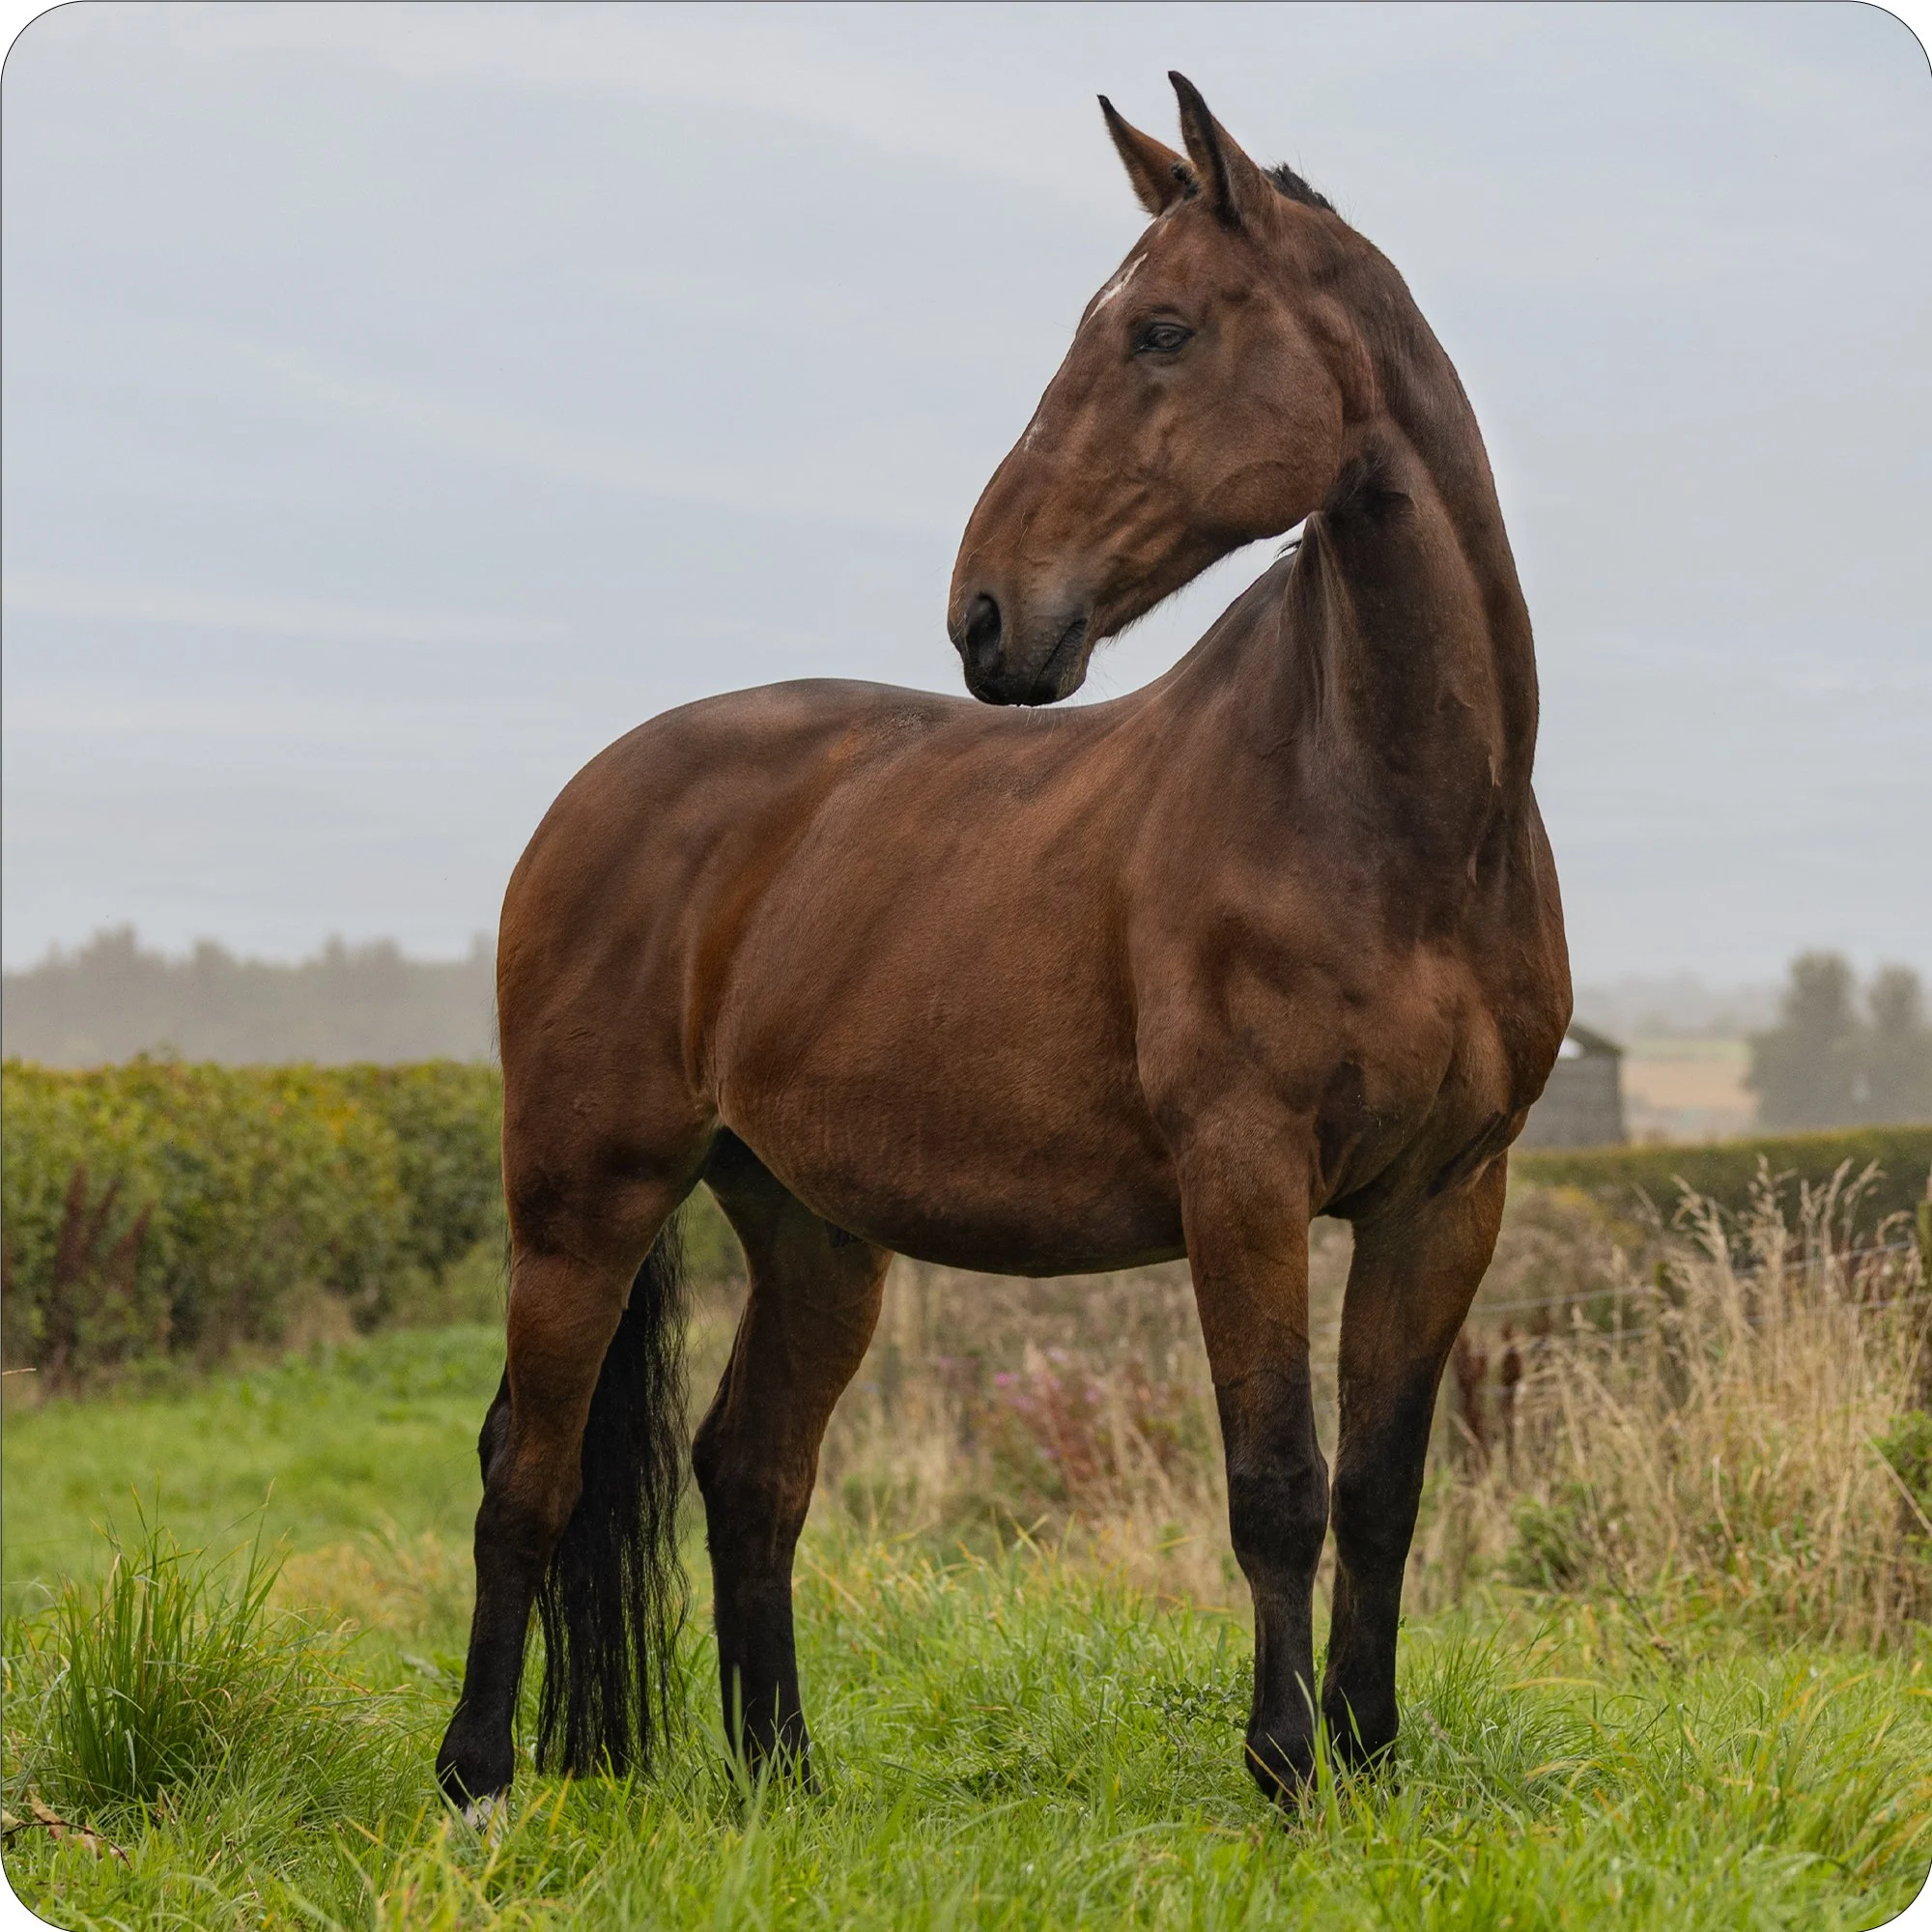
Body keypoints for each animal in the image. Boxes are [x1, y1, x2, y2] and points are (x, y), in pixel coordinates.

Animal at [435, 71, 1570, 1819]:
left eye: (1162, 330)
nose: (984, 617)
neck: (1390, 814)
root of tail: (596, 792)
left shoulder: (1446, 1197)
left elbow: (1383, 1492)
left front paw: (1373, 1767)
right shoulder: (1242, 1179)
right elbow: (1278, 1486)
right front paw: (1286, 1775)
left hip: (813, 1228)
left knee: (750, 1468)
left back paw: (781, 1781)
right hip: (583, 1198)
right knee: (530, 1469)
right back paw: (480, 1784)